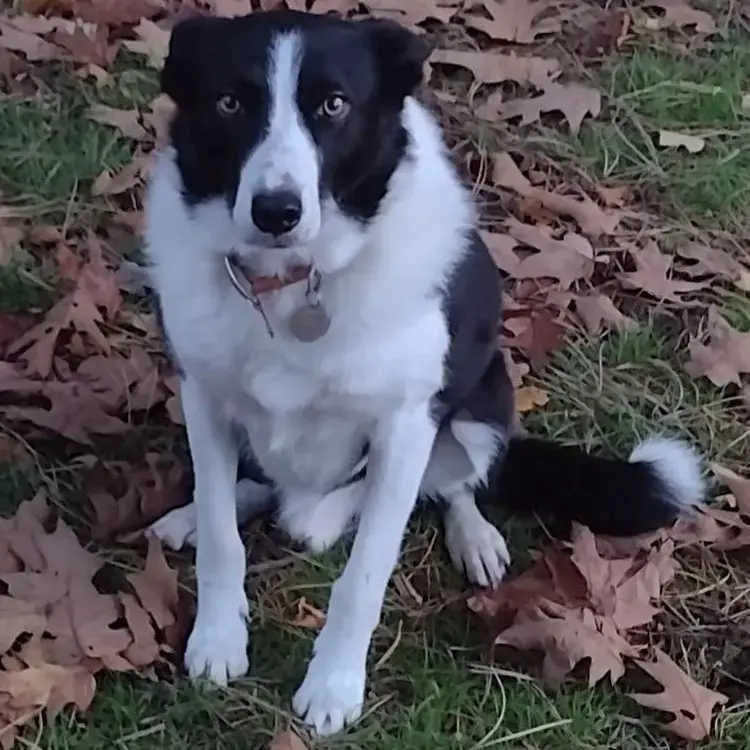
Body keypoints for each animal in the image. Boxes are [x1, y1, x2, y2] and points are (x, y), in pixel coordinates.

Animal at [145, 8, 704, 736]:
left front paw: (333, 685)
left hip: (483, 402)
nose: (276, 212)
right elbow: (221, 539)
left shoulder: (407, 425)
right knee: (273, 492)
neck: (294, 285)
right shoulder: (206, 397)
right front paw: (217, 635)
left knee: (441, 487)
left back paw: (463, 534)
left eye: (334, 104)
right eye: (229, 103)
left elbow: (364, 574)